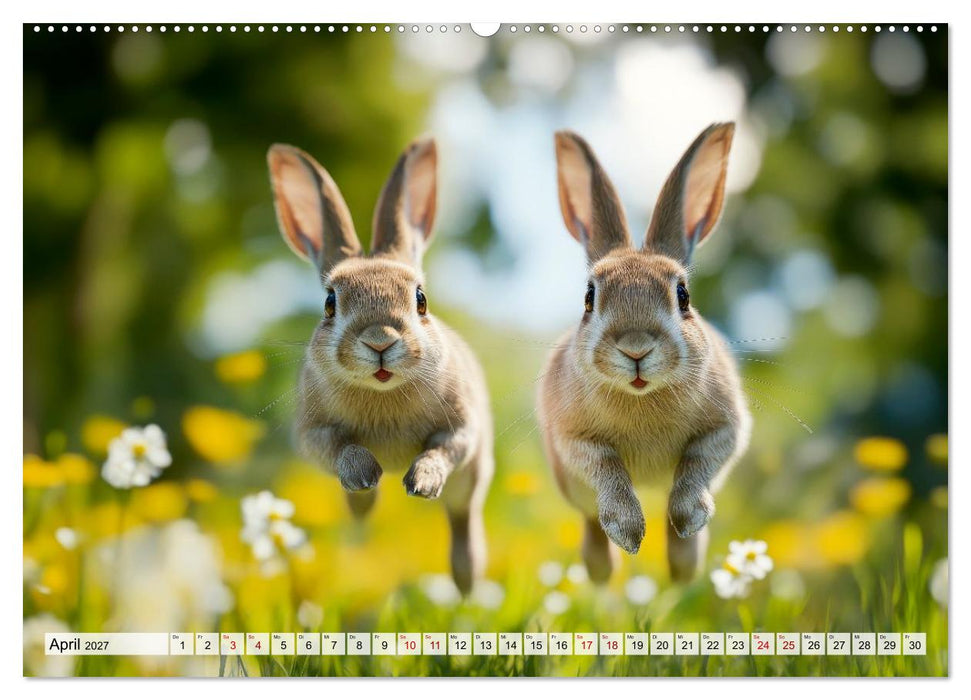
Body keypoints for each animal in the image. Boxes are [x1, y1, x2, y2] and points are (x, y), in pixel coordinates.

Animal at [267, 138, 493, 594]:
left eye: (421, 299)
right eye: (330, 303)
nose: (380, 340)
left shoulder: (464, 426)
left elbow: (443, 448)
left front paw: (420, 482)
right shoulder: (314, 432)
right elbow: (341, 448)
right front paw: (366, 474)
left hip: (472, 482)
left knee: (463, 525)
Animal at [538, 123, 752, 584]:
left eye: (683, 295)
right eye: (589, 297)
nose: (635, 348)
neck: (642, 397)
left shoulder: (726, 429)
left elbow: (697, 463)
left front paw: (688, 518)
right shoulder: (572, 438)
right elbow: (607, 469)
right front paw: (629, 533)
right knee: (590, 527)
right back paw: (604, 572)